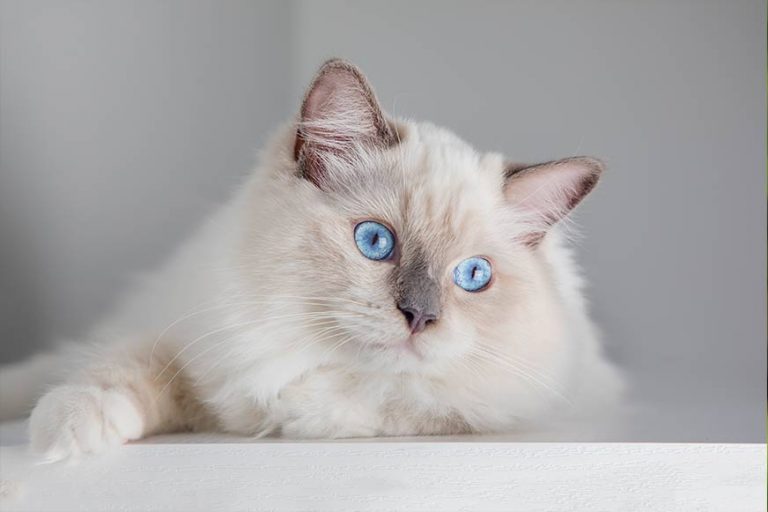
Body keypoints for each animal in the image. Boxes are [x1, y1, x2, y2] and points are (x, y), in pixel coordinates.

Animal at [0, 59, 620, 460]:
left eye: (473, 276)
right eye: (375, 242)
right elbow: (122, 368)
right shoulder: (192, 337)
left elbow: (397, 404)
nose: (419, 317)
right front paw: (63, 432)